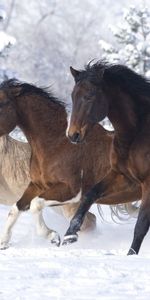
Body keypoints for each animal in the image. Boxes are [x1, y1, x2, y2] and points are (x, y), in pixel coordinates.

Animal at [0, 78, 141, 248]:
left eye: (2, 103)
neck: (57, 143)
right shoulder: (37, 185)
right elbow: (16, 208)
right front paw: (4, 242)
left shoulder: (71, 191)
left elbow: (35, 205)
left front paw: (53, 236)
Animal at [63, 61, 150, 255]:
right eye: (73, 95)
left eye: (89, 96)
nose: (73, 135)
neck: (137, 133)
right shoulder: (123, 177)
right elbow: (89, 195)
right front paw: (69, 236)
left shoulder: (148, 184)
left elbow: (141, 226)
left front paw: (131, 255)